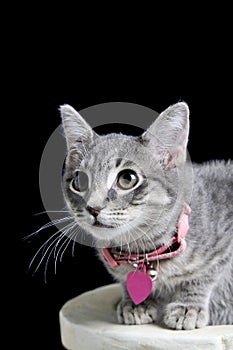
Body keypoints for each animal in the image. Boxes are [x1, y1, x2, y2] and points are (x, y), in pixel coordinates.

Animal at [60, 102, 233, 330]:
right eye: (80, 181)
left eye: (127, 178)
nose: (93, 208)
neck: (142, 252)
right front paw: (134, 303)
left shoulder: (224, 248)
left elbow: (204, 276)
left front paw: (188, 306)